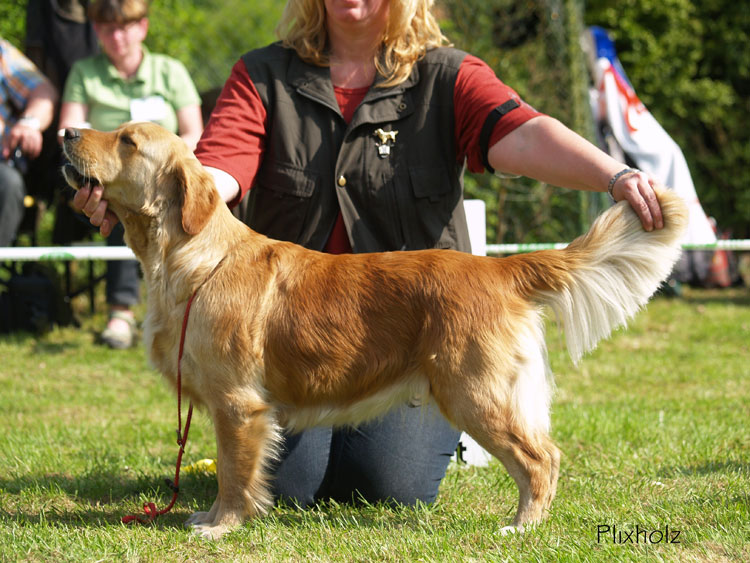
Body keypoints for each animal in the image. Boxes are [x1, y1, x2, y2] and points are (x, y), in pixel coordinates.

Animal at [61, 122, 692, 536]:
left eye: (127, 140)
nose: (67, 131)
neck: (189, 258)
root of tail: (497, 267)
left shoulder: (238, 404)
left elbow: (235, 474)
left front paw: (223, 526)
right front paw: (215, 519)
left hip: (475, 392)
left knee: (542, 459)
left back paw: (522, 527)